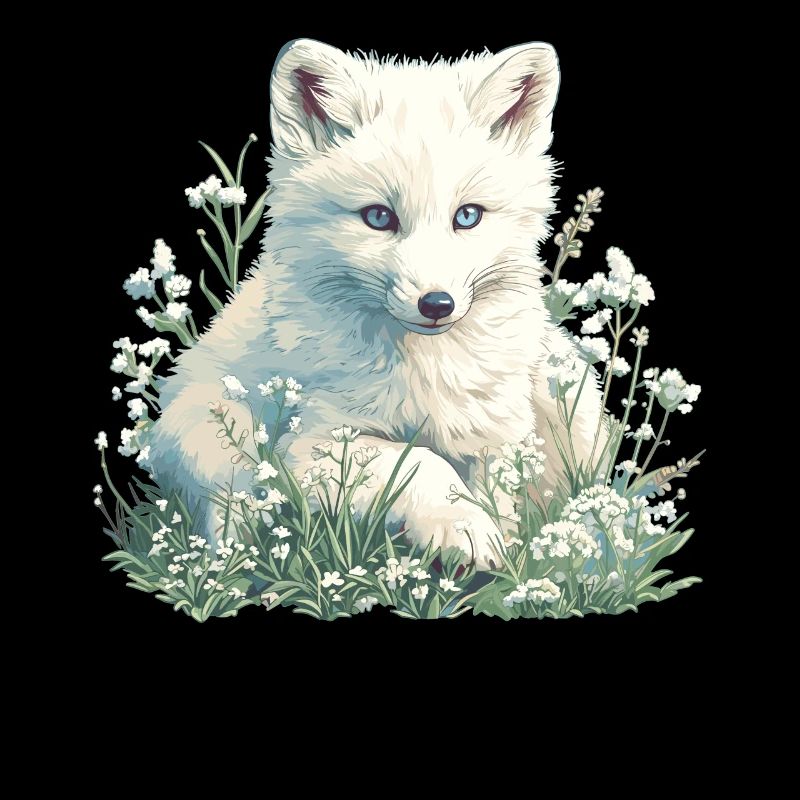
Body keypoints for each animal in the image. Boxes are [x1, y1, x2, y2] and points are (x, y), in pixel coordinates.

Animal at [149, 38, 604, 569]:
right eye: (379, 217)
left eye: (468, 216)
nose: (437, 304)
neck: (426, 373)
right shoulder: (315, 445)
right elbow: (422, 462)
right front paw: (466, 529)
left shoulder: (497, 436)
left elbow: (500, 500)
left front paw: (502, 553)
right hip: (217, 425)